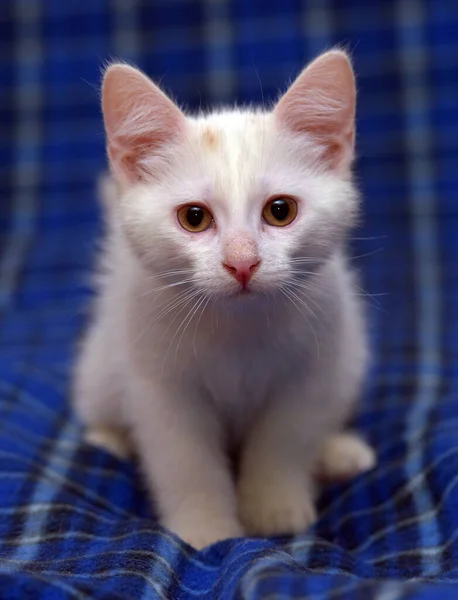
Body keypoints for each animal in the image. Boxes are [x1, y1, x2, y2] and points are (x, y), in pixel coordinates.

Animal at [73, 50, 376, 548]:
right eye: (194, 218)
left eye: (281, 211)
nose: (242, 263)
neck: (237, 324)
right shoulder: (161, 387)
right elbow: (186, 460)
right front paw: (206, 529)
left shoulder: (311, 369)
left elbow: (284, 440)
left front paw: (274, 508)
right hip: (101, 364)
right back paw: (110, 438)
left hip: (349, 356)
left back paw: (336, 453)